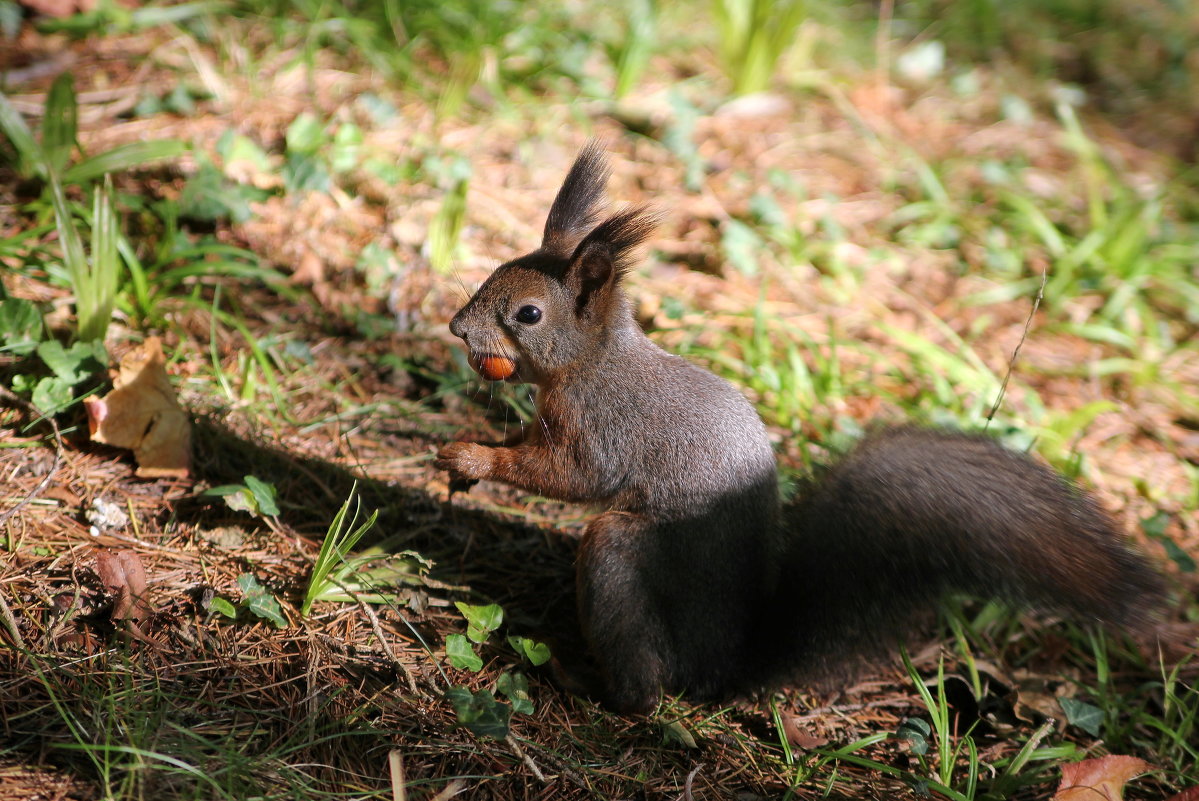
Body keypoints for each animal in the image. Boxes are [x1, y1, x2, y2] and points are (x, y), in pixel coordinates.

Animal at [436, 143, 1165, 714]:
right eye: (494, 271)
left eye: (528, 314)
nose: (456, 328)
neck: (593, 360)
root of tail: (721, 668)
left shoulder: (599, 426)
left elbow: (569, 475)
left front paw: (470, 457)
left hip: (620, 556)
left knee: (643, 692)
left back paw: (581, 680)